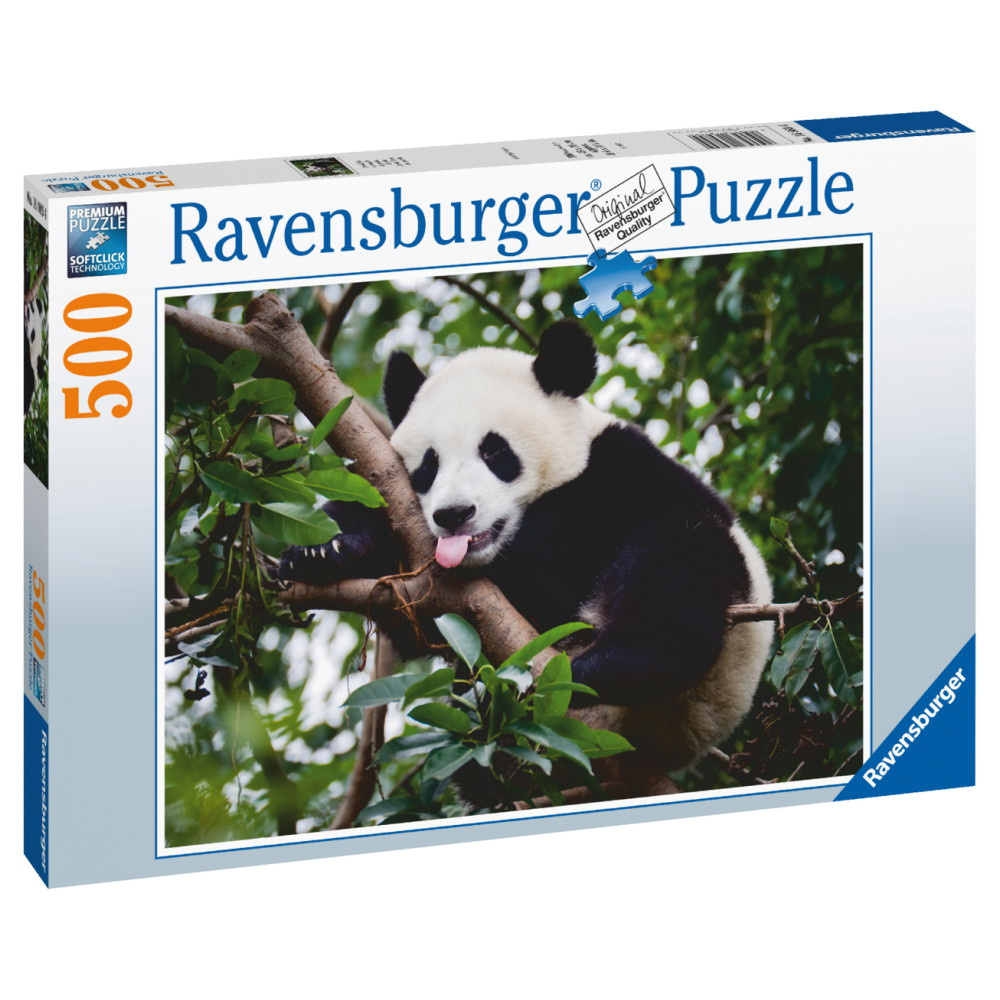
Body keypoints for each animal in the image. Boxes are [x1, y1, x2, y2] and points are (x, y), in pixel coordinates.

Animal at [280, 320, 773, 792]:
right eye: (429, 465)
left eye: (495, 451)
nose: (454, 514)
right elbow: (413, 618)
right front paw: (324, 548)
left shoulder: (620, 478)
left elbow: (550, 567)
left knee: (678, 567)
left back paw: (601, 669)